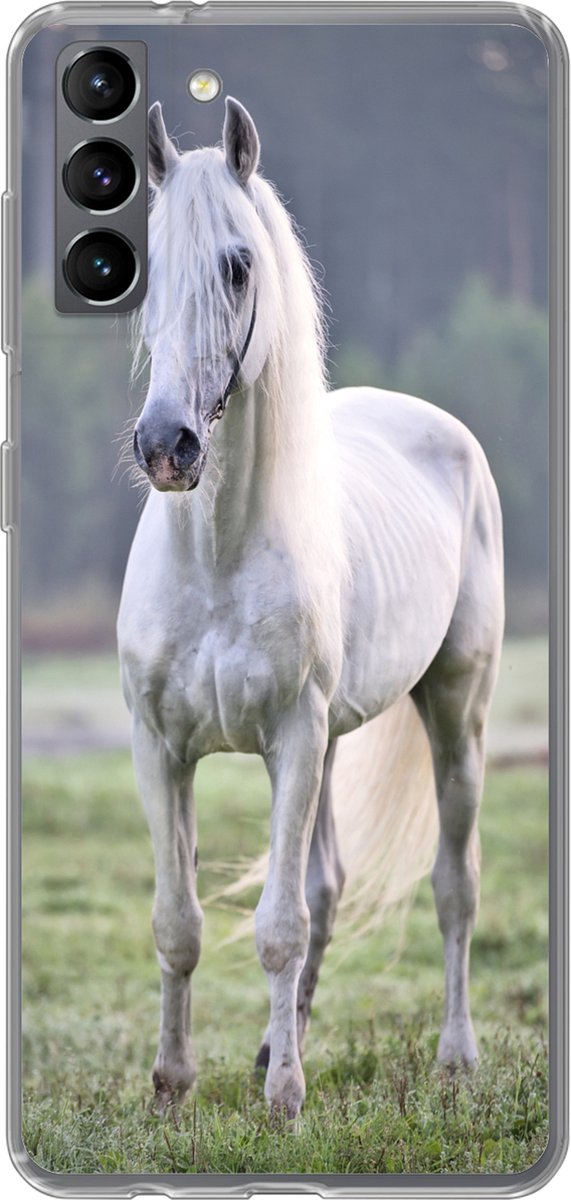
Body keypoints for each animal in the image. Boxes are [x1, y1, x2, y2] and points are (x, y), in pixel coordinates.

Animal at [117, 97, 504, 1120]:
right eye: (143, 268)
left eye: (237, 265)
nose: (166, 445)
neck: (215, 559)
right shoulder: (161, 749)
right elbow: (177, 923)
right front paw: (171, 1087)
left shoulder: (290, 740)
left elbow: (278, 926)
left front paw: (285, 1100)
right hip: (330, 741)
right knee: (328, 885)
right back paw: (268, 1045)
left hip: (453, 711)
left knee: (453, 886)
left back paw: (453, 1057)